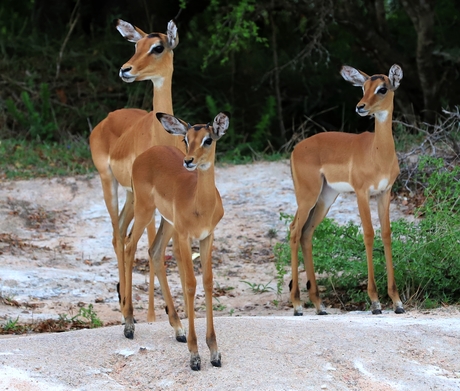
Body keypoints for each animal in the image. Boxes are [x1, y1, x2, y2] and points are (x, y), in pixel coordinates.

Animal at [89, 19, 184, 324]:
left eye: (158, 47)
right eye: (136, 45)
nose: (125, 70)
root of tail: (108, 118)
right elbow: (147, 243)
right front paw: (151, 315)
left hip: (133, 195)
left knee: (122, 231)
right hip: (110, 183)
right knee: (119, 235)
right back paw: (124, 307)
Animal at [124, 112, 230, 370]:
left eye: (208, 139)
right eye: (186, 139)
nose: (189, 161)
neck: (200, 205)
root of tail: (145, 155)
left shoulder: (207, 237)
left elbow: (208, 282)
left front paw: (214, 353)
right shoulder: (184, 236)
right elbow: (190, 284)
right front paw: (195, 356)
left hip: (167, 222)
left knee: (154, 252)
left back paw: (178, 329)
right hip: (144, 211)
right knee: (130, 245)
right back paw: (129, 326)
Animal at [290, 63, 404, 316]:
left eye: (382, 88)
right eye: (363, 87)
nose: (360, 107)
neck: (378, 154)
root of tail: (295, 149)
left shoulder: (385, 193)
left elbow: (387, 234)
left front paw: (397, 302)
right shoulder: (362, 193)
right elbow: (369, 234)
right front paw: (375, 302)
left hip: (325, 198)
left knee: (306, 233)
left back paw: (319, 305)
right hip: (307, 197)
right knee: (294, 231)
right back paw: (297, 305)